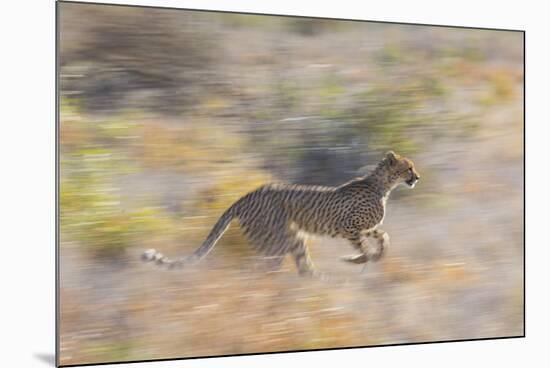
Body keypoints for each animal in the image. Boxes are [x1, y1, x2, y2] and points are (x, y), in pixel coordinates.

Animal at [143, 150, 422, 276]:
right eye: (408, 167)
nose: (417, 177)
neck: (383, 185)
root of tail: (248, 194)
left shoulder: (364, 227)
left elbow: (384, 238)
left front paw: (374, 255)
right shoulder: (348, 227)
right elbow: (365, 248)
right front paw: (356, 260)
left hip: (289, 239)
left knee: (296, 267)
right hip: (277, 239)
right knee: (264, 268)